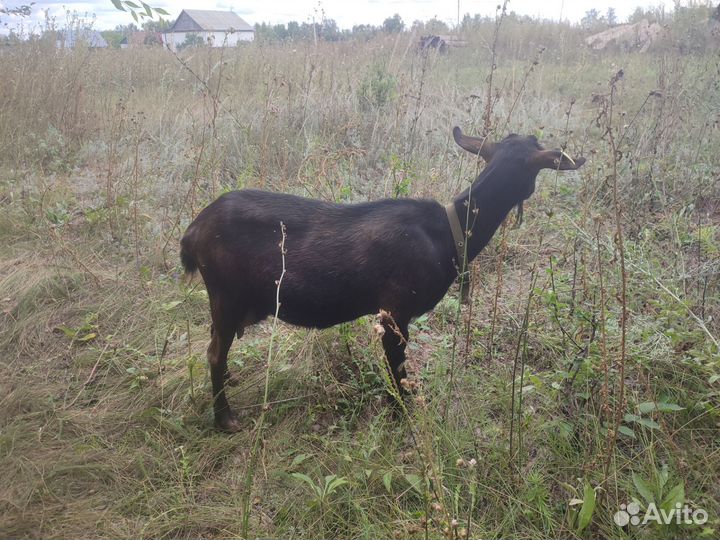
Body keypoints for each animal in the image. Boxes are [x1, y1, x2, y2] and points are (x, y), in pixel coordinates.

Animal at [180, 127, 586, 431]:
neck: (447, 233)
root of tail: (194, 230)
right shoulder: (395, 311)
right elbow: (398, 371)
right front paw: (401, 415)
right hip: (227, 295)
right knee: (213, 351)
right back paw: (225, 418)